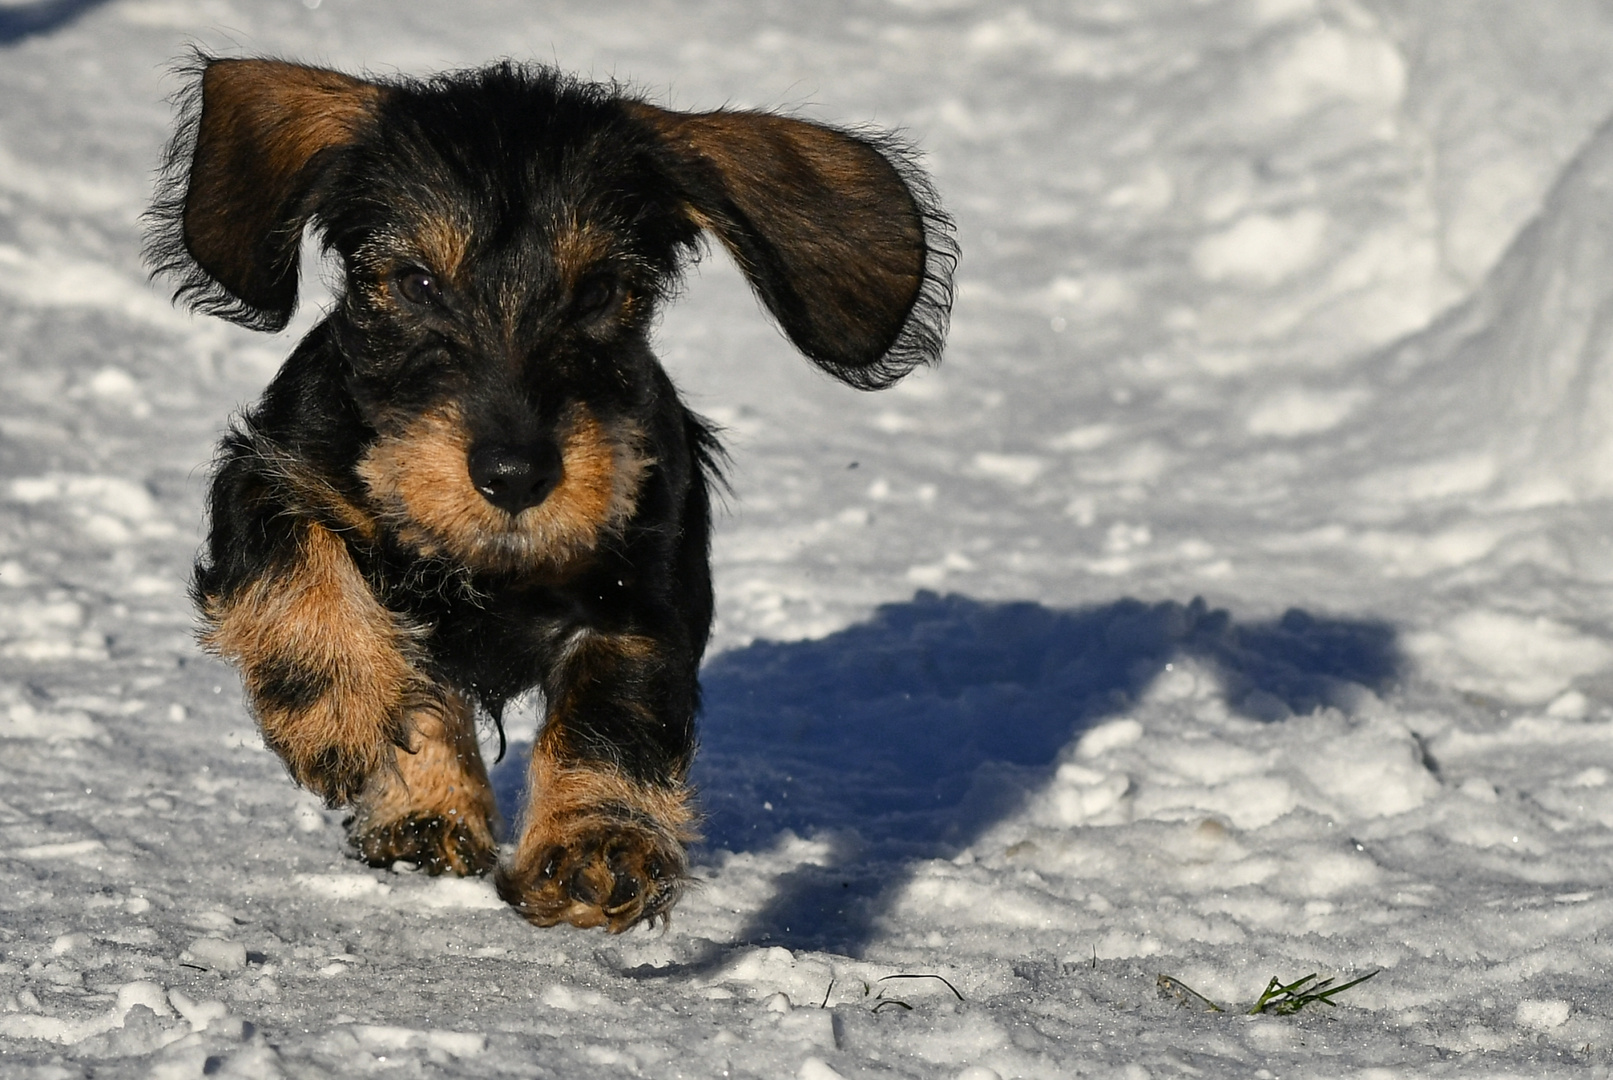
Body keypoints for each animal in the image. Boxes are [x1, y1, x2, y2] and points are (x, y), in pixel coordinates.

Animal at [145, 54, 948, 928]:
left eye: (597, 291)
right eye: (415, 282)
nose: (514, 475)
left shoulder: (639, 596)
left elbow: (607, 717)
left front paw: (597, 846)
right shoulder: (265, 469)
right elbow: (296, 555)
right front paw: (337, 710)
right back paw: (422, 814)